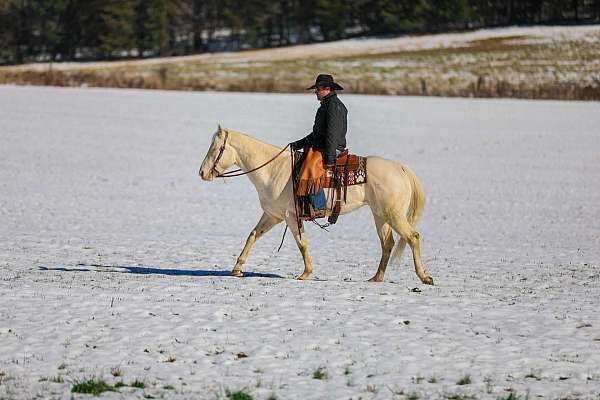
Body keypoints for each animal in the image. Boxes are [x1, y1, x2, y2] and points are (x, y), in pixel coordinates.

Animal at [199, 125, 434, 284]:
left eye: (216, 149)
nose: (202, 172)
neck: (274, 170)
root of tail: (400, 168)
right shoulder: (273, 215)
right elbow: (253, 235)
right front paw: (237, 269)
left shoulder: (291, 216)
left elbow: (302, 243)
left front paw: (305, 273)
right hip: (380, 216)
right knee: (388, 244)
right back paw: (376, 278)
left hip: (393, 215)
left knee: (412, 237)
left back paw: (424, 277)